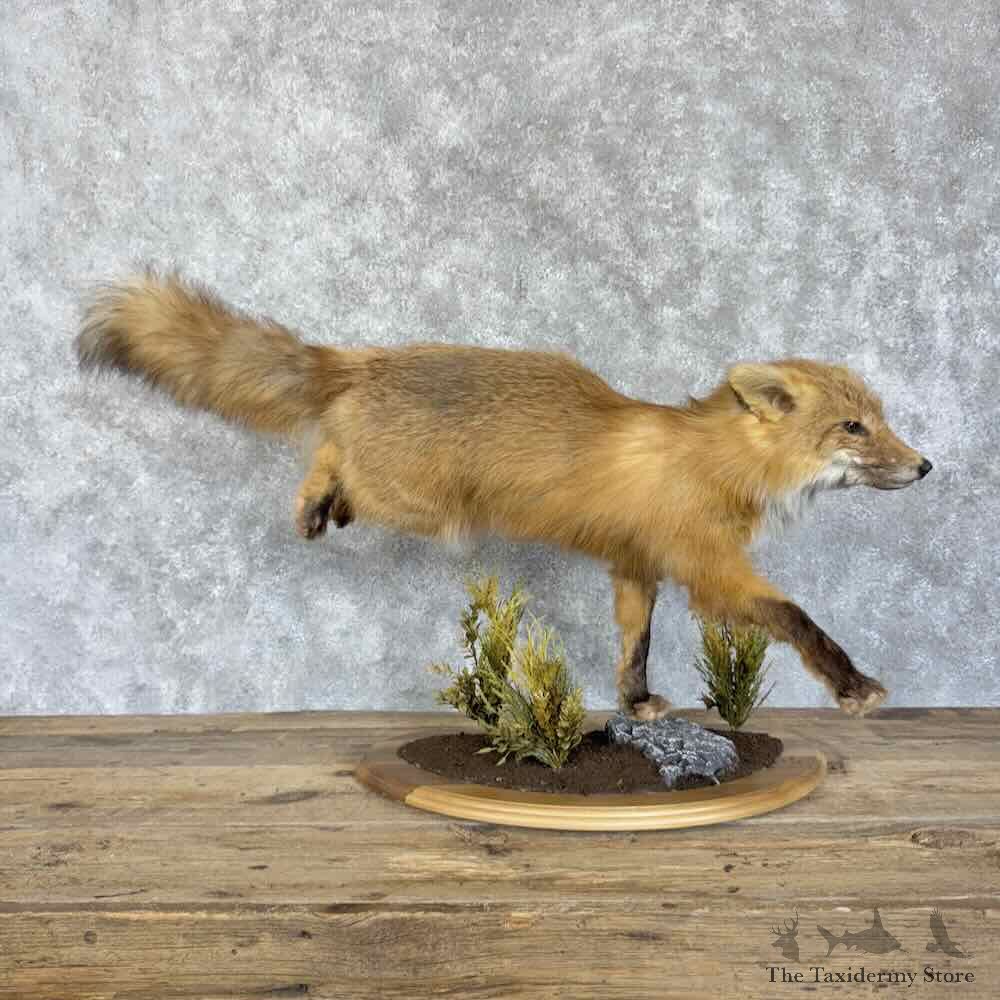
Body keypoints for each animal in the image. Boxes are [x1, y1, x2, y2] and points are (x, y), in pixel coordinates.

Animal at [76, 269, 933, 719]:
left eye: (881, 420)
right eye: (854, 427)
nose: (926, 467)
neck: (711, 463)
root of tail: (369, 359)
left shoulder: (637, 568)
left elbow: (635, 646)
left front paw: (636, 703)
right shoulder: (710, 570)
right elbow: (797, 617)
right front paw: (853, 685)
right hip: (422, 505)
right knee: (331, 459)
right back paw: (313, 501)